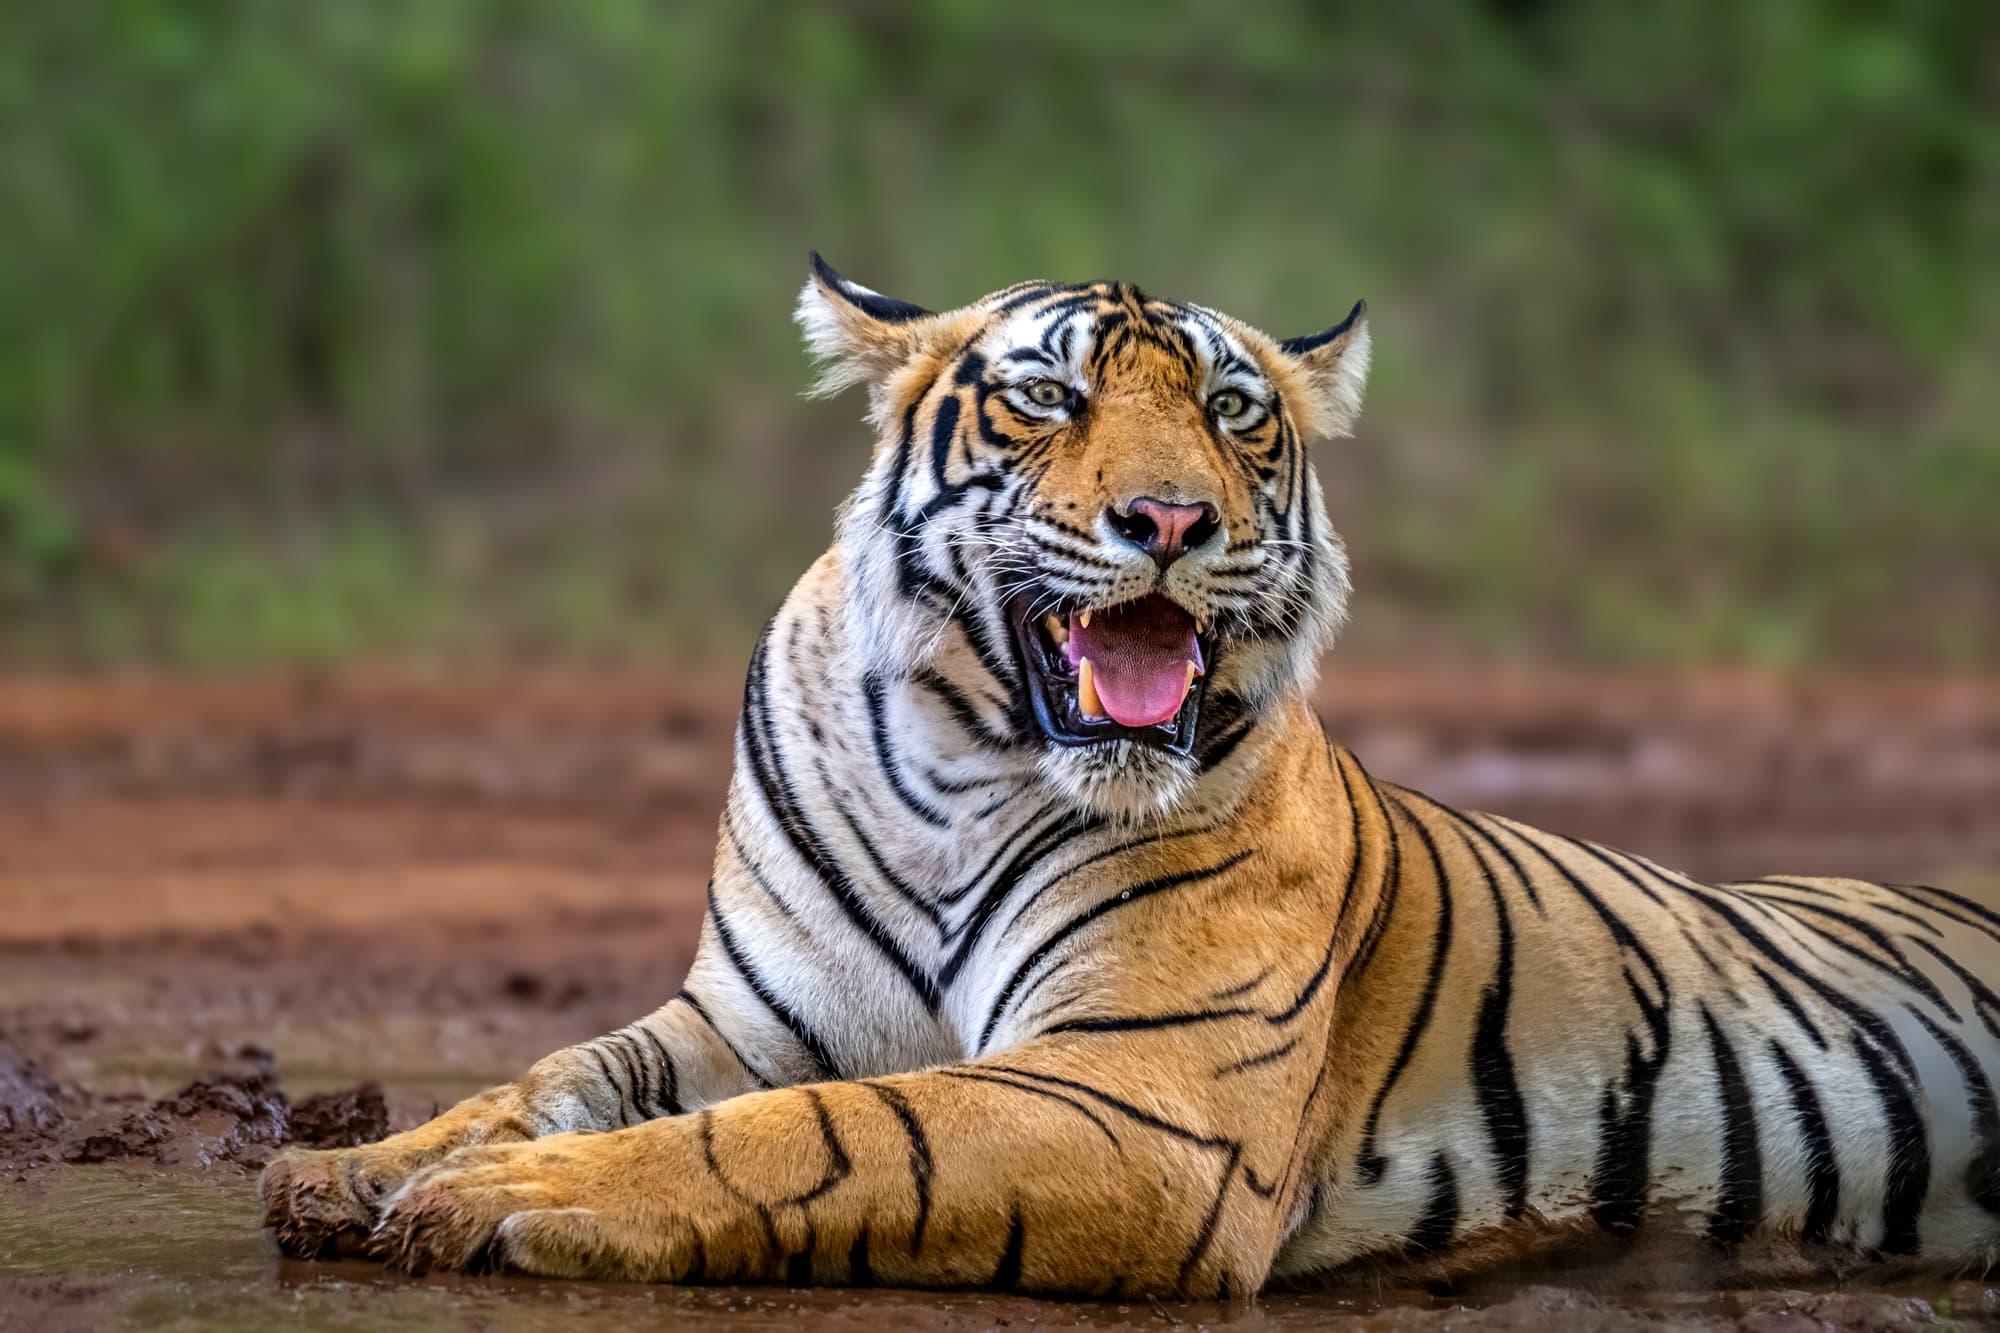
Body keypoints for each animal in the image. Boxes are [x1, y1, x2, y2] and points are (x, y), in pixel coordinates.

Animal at [261, 256, 2000, 1297]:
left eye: (1235, 414)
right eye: (1052, 396)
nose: (1171, 519)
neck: (956, 768)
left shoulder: (1140, 1097)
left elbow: (818, 1132)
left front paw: (496, 1196)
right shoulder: (747, 1018)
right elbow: (550, 1071)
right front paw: (356, 1167)